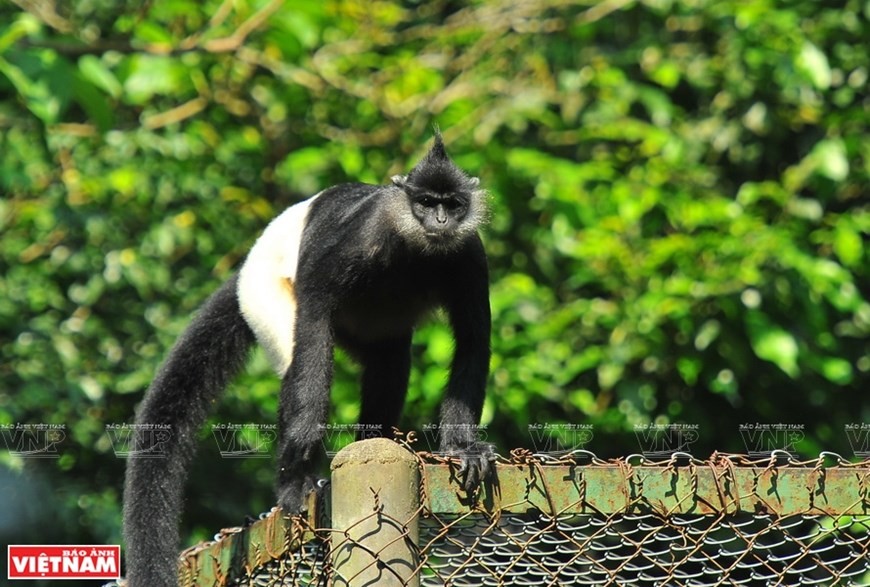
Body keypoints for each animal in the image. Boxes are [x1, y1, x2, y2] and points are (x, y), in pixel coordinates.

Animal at [121, 133, 498, 587]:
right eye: (426, 202)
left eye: (453, 204)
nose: (440, 220)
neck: (416, 251)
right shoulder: (358, 240)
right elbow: (316, 319)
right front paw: (298, 480)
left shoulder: (470, 256)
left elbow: (473, 341)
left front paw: (462, 449)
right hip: (262, 293)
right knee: (297, 357)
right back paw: (294, 480)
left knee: (389, 361)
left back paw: (375, 441)